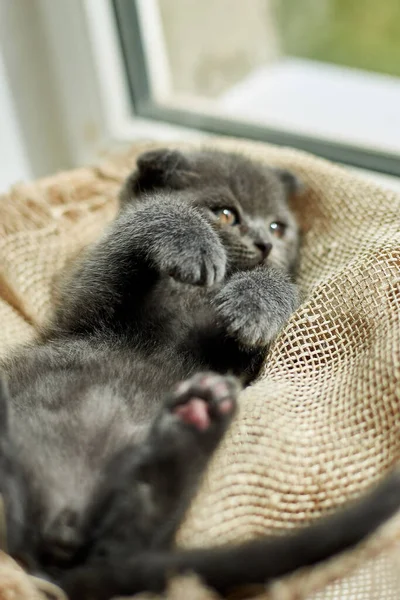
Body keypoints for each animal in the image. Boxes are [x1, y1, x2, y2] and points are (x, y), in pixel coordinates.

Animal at [1, 146, 398, 600]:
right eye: (225, 213)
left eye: (278, 226)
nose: (265, 243)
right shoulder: (81, 308)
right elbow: (138, 223)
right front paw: (191, 240)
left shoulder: (233, 365)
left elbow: (266, 300)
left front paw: (257, 301)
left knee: (128, 537)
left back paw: (197, 417)